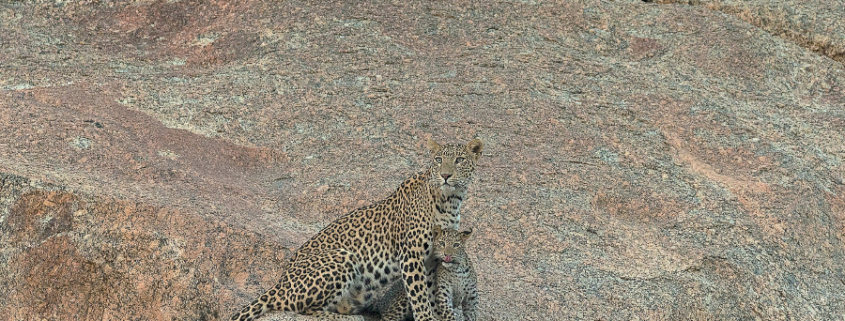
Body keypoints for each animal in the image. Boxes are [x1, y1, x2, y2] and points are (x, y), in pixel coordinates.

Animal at [229, 138, 482, 320]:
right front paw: (426, 317)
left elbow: (429, 291)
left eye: (459, 160)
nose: (445, 175)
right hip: (343, 258)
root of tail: (279, 282)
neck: (450, 202)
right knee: (302, 309)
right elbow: (419, 295)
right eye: (438, 159)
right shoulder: (411, 256)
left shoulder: (432, 260)